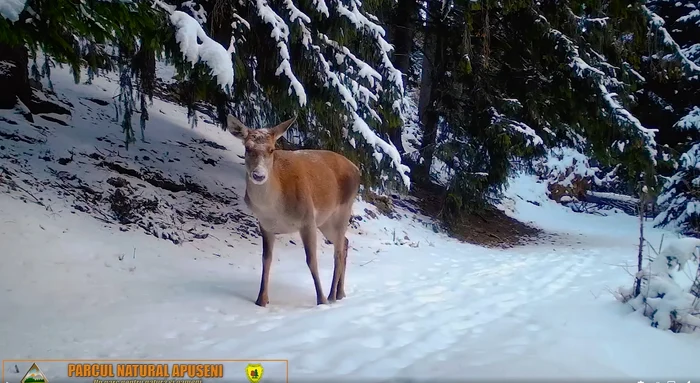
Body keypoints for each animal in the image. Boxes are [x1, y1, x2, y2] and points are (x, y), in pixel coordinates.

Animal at [227, 115, 364, 308]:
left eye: (272, 149)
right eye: (247, 148)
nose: (259, 175)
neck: (274, 208)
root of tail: (357, 169)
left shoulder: (307, 219)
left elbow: (311, 260)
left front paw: (320, 300)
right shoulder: (265, 225)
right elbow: (266, 259)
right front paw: (261, 300)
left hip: (342, 210)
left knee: (337, 251)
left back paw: (331, 296)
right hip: (326, 221)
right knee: (345, 242)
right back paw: (340, 293)